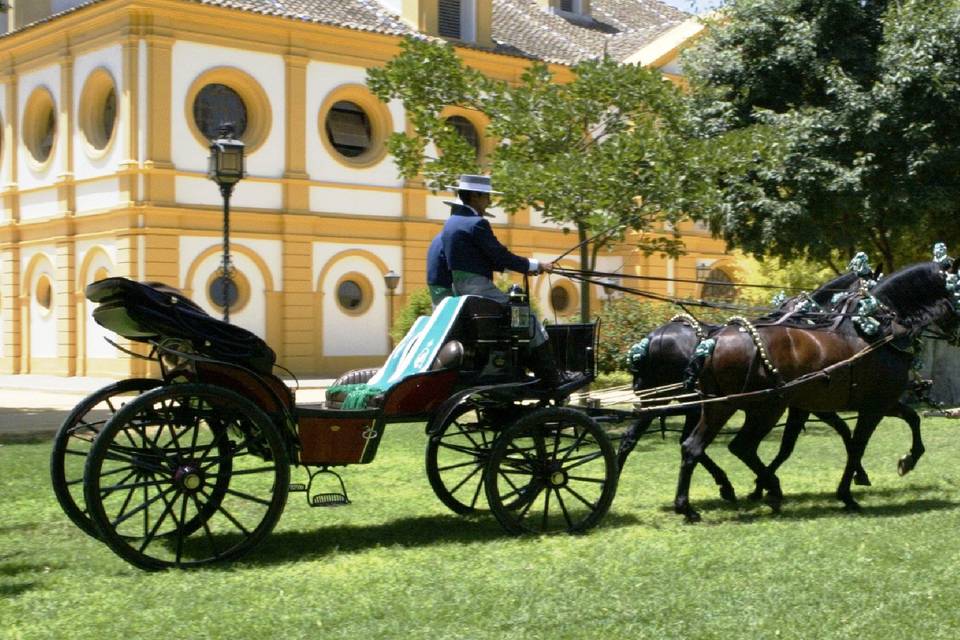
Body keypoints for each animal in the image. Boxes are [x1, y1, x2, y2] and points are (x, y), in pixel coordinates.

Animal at [680, 260, 956, 520]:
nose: (956, 337)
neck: (878, 330)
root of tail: (713, 340)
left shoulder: (863, 404)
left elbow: (910, 419)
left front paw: (904, 461)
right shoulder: (873, 406)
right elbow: (857, 445)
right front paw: (848, 493)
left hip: (720, 406)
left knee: (694, 446)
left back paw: (692, 504)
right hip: (762, 408)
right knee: (738, 447)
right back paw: (765, 490)